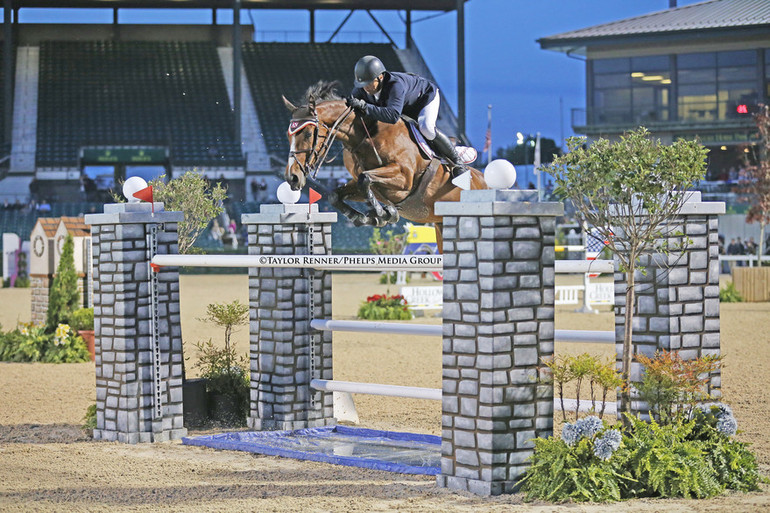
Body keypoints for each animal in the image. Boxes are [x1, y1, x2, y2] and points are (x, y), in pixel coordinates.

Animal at [282, 81, 486, 251]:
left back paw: (460, 169)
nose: (293, 178)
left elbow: (365, 179)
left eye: (308, 134)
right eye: (288, 136)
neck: (365, 135)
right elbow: (337, 194)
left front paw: (383, 213)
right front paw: (365, 217)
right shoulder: (362, 183)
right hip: (441, 226)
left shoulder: (403, 178)